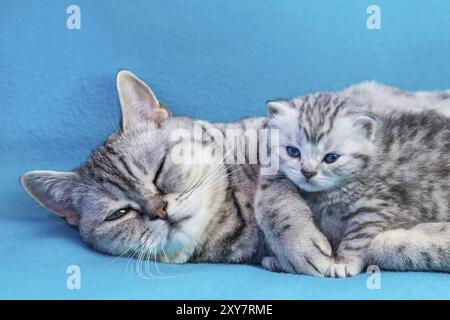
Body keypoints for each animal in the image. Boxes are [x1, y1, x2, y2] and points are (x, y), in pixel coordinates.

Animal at [255, 82, 450, 278]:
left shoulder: (374, 208)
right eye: (293, 151)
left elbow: (356, 239)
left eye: (331, 158)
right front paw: (279, 260)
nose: (308, 172)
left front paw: (343, 263)